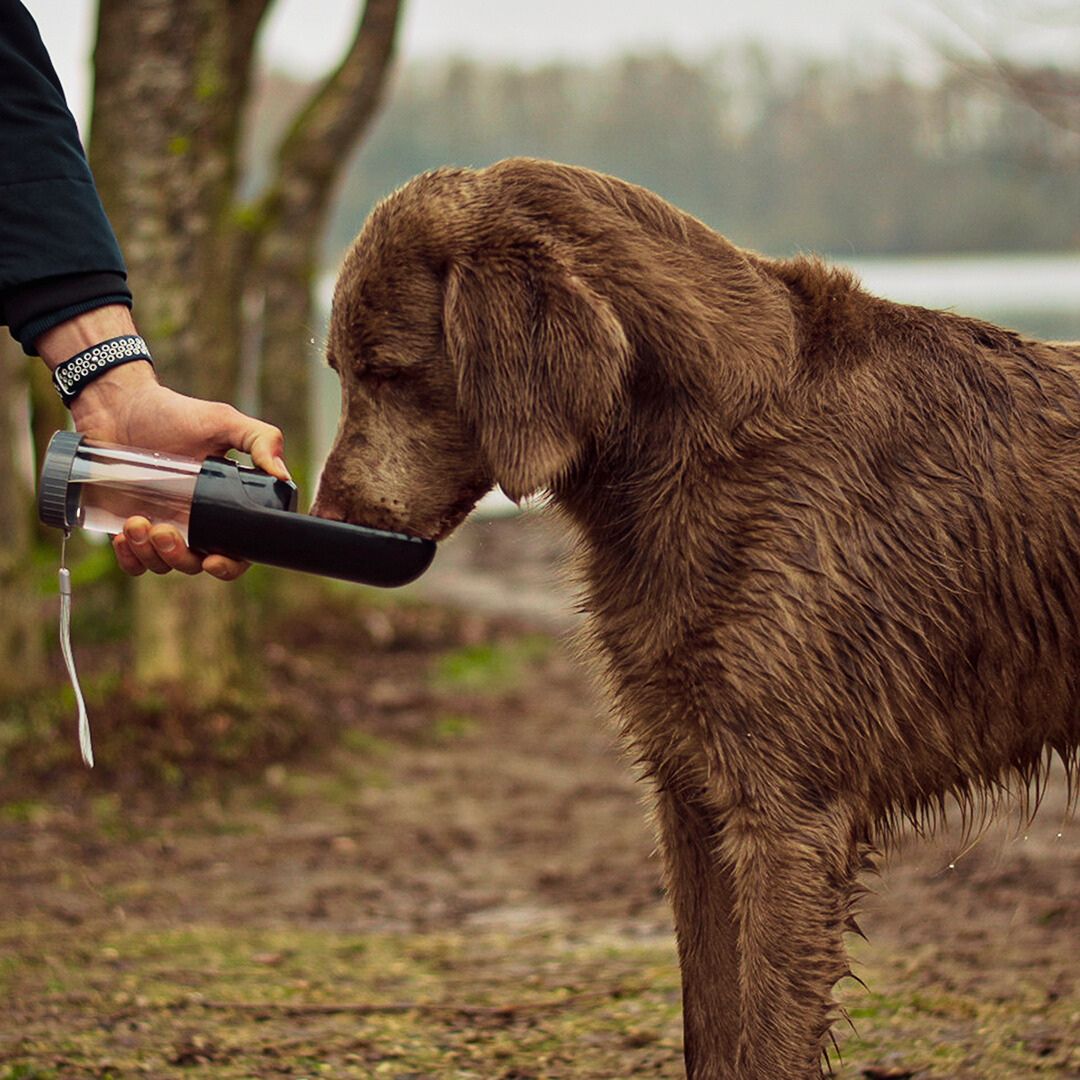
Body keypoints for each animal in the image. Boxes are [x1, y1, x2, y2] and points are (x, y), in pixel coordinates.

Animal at [313, 159, 1080, 1080]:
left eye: (388, 370)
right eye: (339, 368)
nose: (325, 516)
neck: (700, 443)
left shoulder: (788, 815)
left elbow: (767, 1040)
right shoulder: (689, 792)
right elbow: (711, 1025)